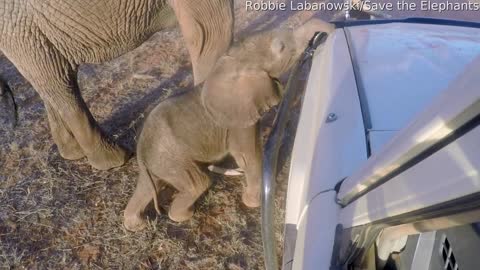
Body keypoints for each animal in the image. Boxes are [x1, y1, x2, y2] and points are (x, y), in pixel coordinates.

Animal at [1, 0, 234, 169]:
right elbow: (209, 31)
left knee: (54, 79)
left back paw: (73, 153)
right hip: (18, 28)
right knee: (58, 83)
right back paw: (115, 160)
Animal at [124, 19, 334, 231]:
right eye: (281, 47)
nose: (328, 32)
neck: (236, 62)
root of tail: (140, 152)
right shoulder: (237, 120)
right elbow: (247, 156)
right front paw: (253, 203)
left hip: (160, 162)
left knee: (148, 186)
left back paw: (136, 224)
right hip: (173, 158)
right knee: (198, 183)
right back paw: (183, 216)